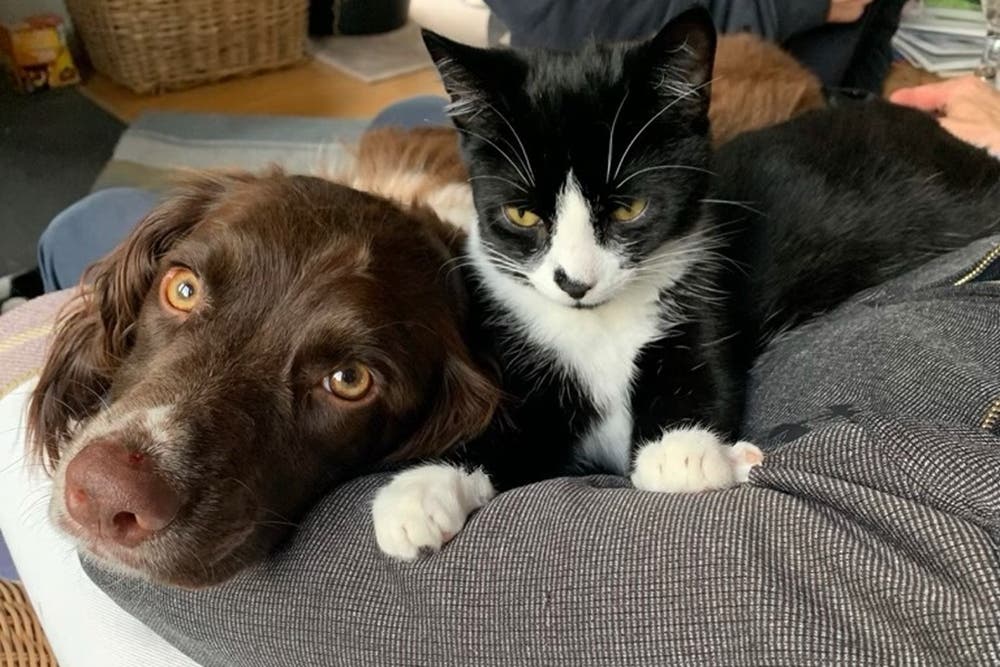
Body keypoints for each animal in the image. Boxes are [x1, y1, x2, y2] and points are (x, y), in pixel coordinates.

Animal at [372, 7, 1000, 560]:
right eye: (522, 215)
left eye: (630, 208)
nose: (574, 282)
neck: (598, 325)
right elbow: (513, 428)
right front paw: (418, 493)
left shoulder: (705, 287)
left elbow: (699, 369)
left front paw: (682, 452)